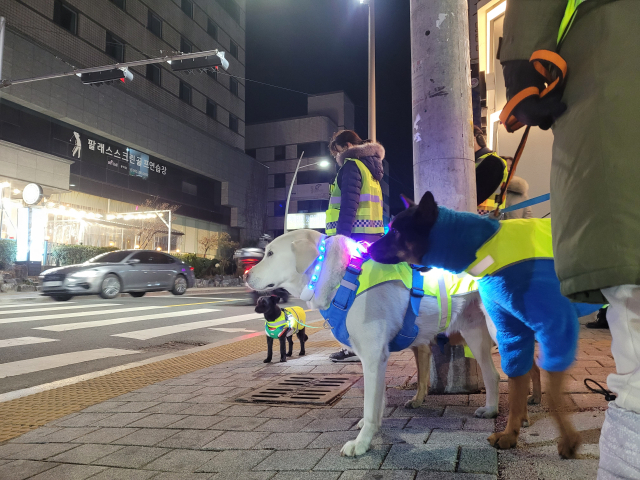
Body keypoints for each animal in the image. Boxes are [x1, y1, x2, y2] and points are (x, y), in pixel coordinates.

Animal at [245, 229, 500, 458]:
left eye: (270, 253)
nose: (245, 275)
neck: (344, 277)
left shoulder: (373, 355)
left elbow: (370, 406)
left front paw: (361, 443)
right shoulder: (375, 357)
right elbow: (377, 402)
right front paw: (373, 430)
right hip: (474, 334)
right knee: (492, 374)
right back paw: (491, 410)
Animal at [368, 191, 604, 458]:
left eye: (397, 231)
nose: (367, 249)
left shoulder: (554, 327)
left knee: (517, 372)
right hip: (480, 333)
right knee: (509, 372)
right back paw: (507, 407)